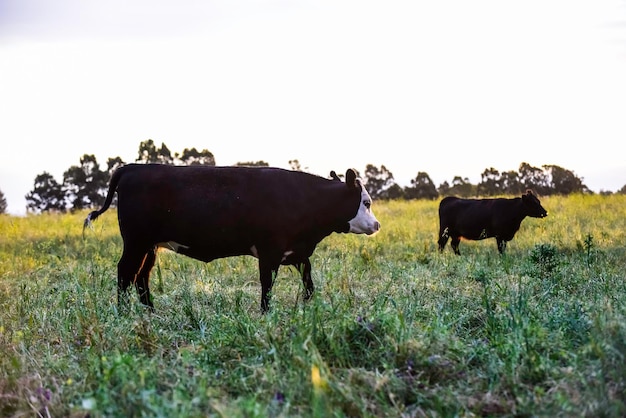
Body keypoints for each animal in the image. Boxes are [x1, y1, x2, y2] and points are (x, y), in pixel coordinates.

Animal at [83, 165, 380, 312]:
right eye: (366, 202)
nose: (376, 225)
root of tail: (132, 166)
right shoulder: (269, 252)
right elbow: (267, 286)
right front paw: (265, 314)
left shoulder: (296, 252)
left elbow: (309, 283)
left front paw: (307, 306)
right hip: (136, 242)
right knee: (126, 273)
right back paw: (123, 312)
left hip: (150, 245)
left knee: (141, 277)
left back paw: (151, 312)